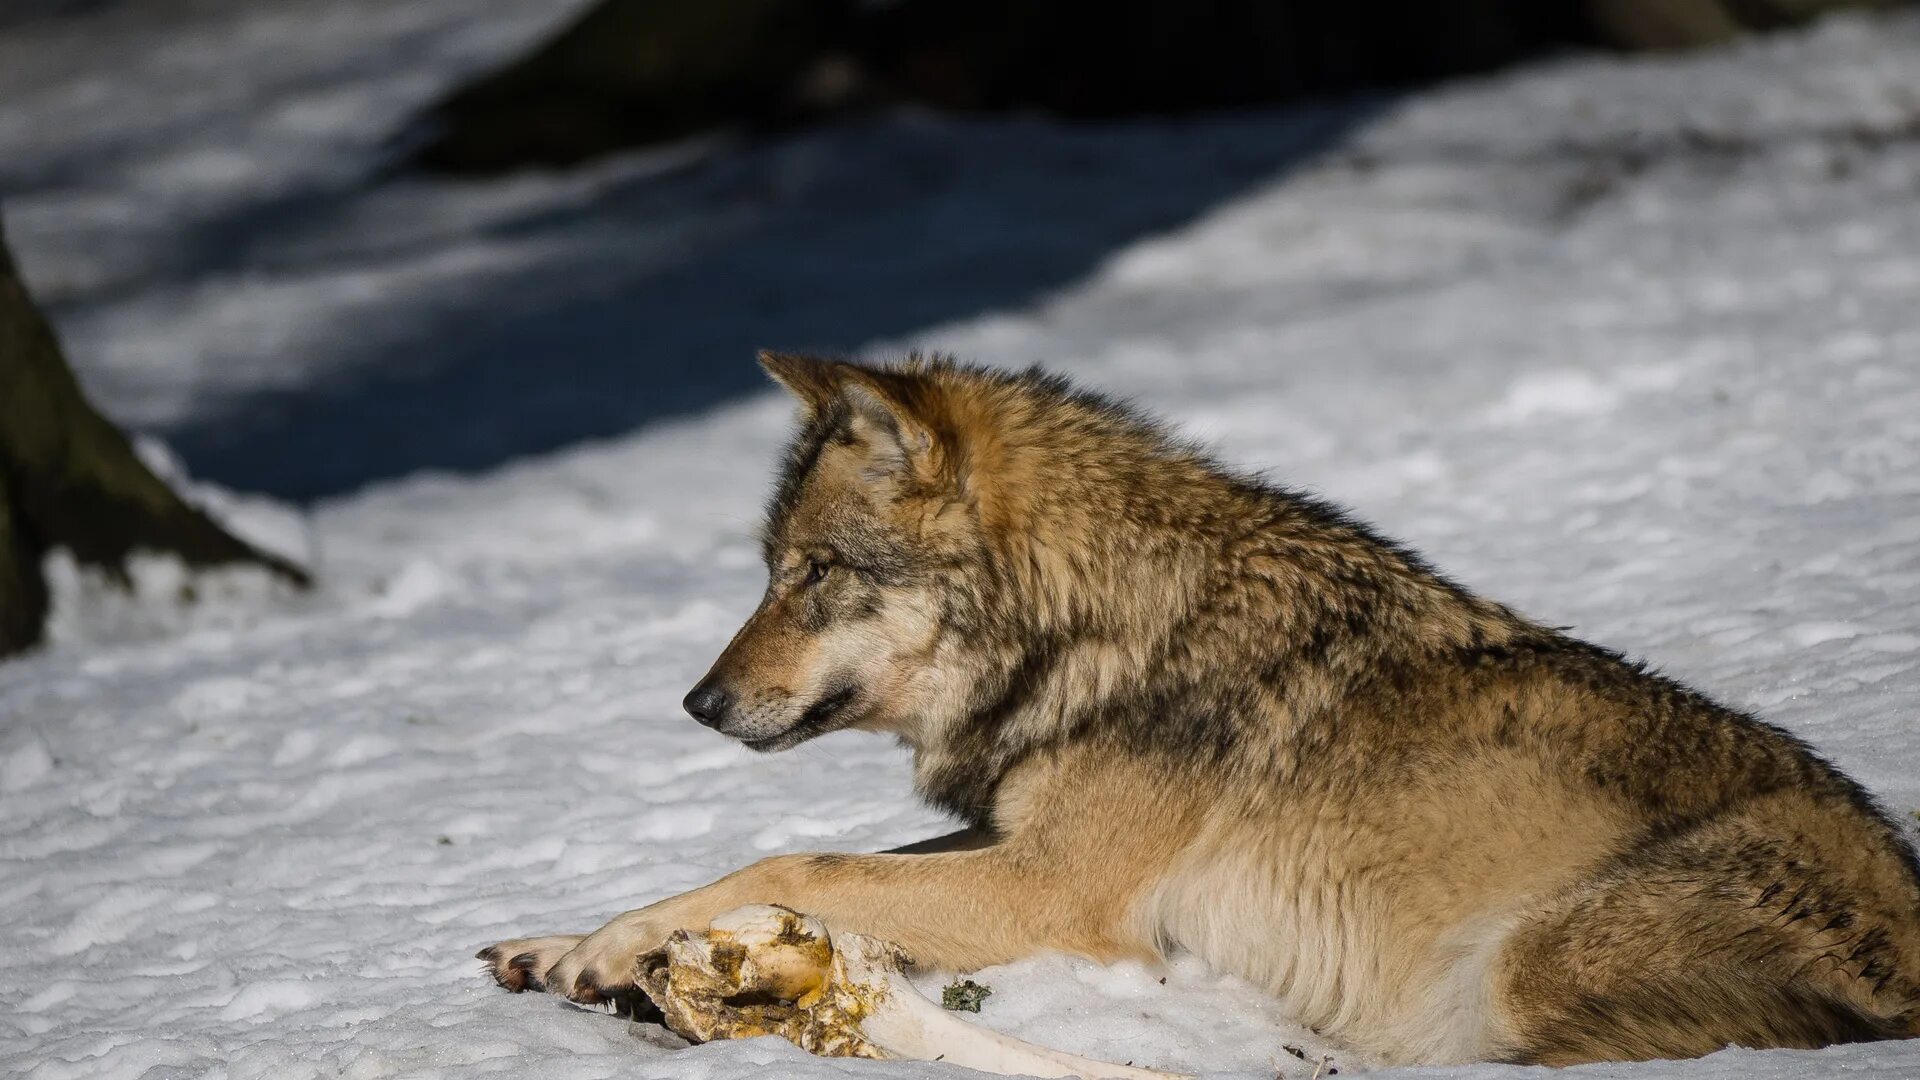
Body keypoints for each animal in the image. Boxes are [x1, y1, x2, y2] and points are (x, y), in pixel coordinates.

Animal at [480, 353, 1920, 1060]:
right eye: (771, 569)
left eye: (813, 571)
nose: (696, 702)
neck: (1104, 624)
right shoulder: (1014, 845)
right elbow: (812, 865)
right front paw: (573, 945)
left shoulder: (1055, 893)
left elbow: (791, 857)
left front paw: (622, 953)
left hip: (1530, 968)